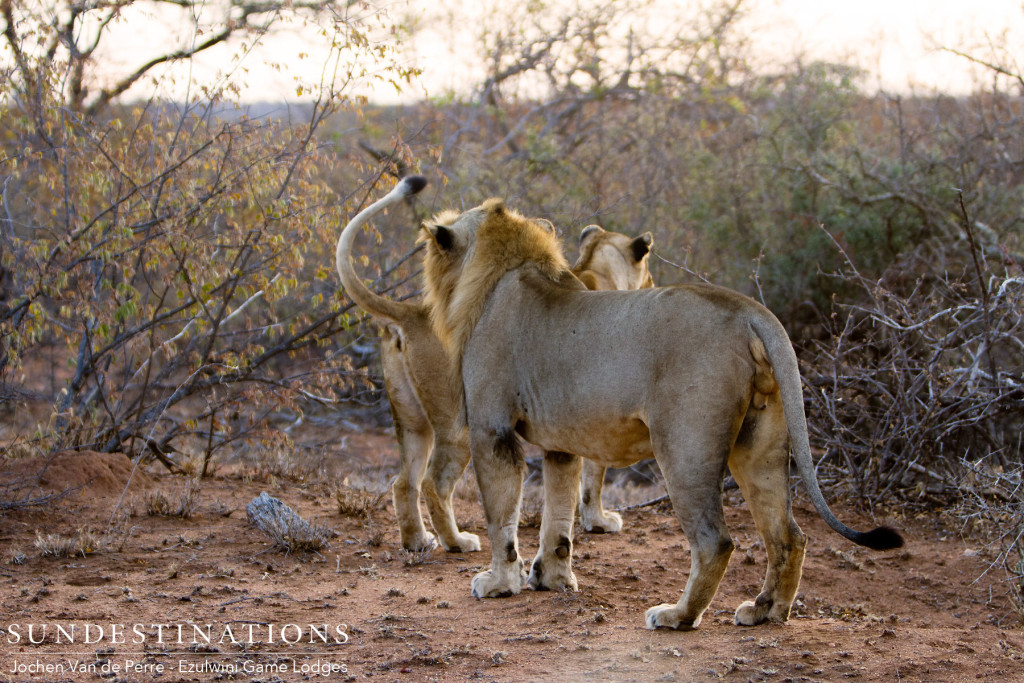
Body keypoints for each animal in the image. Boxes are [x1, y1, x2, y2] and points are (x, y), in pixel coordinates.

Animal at [417, 192, 905, 630]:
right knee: (789, 535)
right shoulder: (561, 441)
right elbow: (558, 520)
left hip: (685, 448)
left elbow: (501, 517)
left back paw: (678, 615)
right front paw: (552, 579)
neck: (500, 274)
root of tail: (750, 311)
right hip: (760, 447)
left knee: (715, 542)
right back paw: (765, 611)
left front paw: (499, 582)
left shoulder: (491, 429)